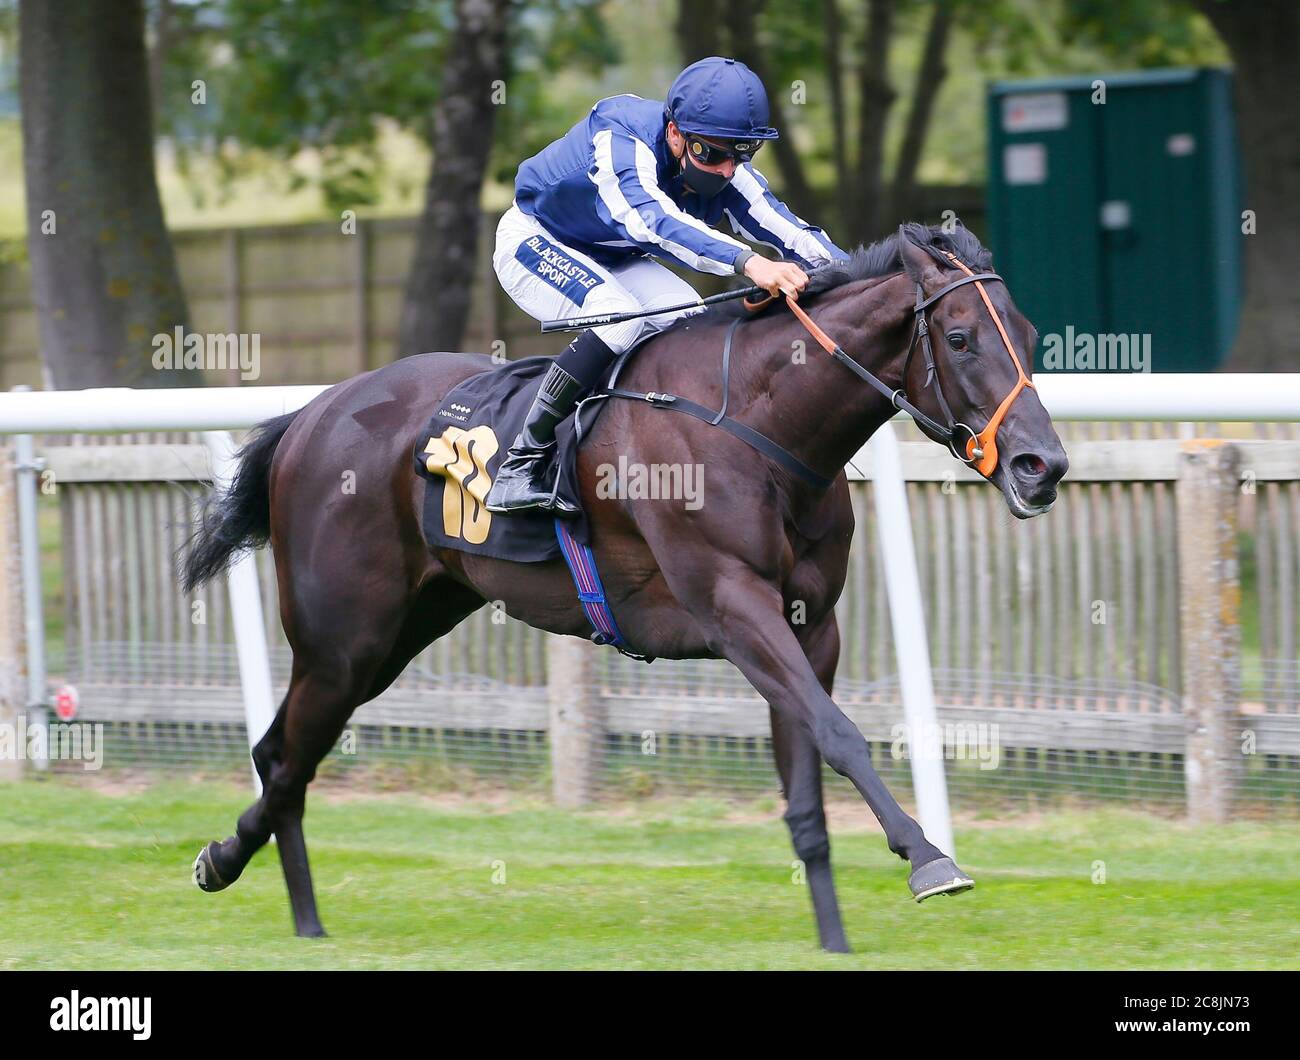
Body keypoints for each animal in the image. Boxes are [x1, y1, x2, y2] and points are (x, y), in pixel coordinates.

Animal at [188, 223, 1071, 952]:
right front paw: (928, 858)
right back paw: (265, 891)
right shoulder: (733, 606)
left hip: (404, 630)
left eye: (1028, 335)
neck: (759, 423)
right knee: (285, 757)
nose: (1044, 466)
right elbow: (842, 734)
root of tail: (310, 415)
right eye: (959, 338)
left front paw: (834, 937)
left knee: (284, 753)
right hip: (345, 639)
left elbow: (808, 777)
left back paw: (255, 882)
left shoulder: (808, 623)